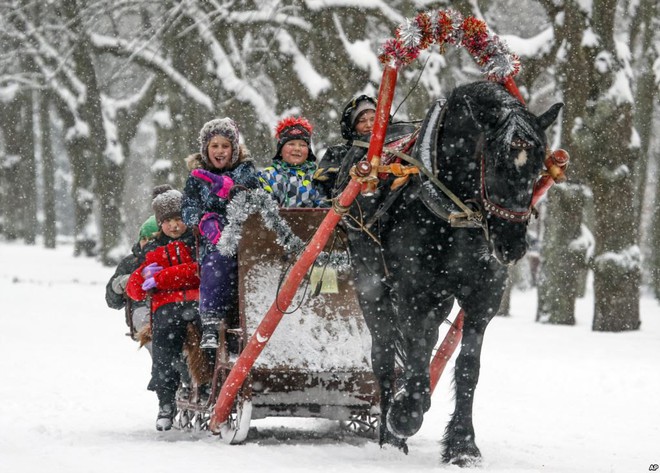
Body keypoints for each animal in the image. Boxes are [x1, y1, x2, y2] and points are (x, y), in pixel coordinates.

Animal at [336, 81, 564, 464]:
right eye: (497, 163)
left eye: (537, 168)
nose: (511, 246)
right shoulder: (414, 294)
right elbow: (412, 354)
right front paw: (405, 415)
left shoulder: (483, 297)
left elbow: (467, 367)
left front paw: (462, 445)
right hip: (370, 284)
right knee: (384, 353)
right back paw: (390, 434)